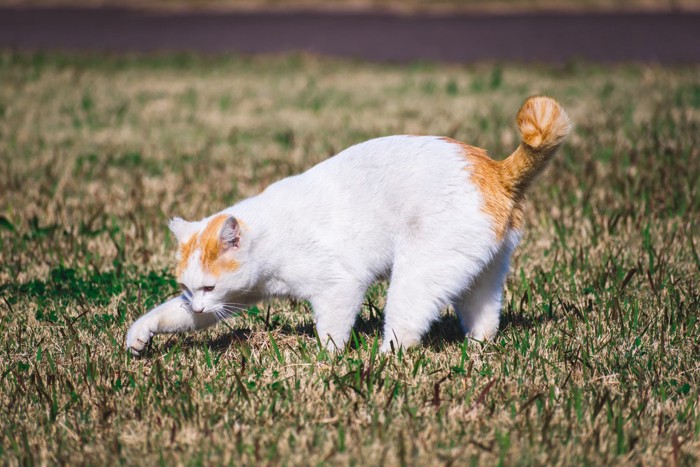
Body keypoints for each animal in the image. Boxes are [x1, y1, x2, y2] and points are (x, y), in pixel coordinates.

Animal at [129, 98, 572, 354]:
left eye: (208, 286)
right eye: (189, 289)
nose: (199, 302)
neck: (270, 237)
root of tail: (494, 169)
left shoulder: (340, 285)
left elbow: (332, 331)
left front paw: (327, 362)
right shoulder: (232, 299)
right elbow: (170, 316)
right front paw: (139, 335)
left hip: (416, 275)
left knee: (406, 327)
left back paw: (384, 360)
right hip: (477, 274)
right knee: (486, 316)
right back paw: (478, 350)